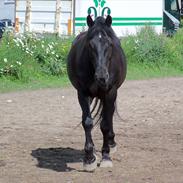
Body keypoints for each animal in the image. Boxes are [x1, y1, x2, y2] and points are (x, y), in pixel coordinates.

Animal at [67, 14, 127, 172]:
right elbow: (87, 122)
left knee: (109, 116)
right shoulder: (82, 93)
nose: (102, 76)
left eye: (110, 44)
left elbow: (105, 124)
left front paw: (106, 156)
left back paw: (111, 143)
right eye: (90, 45)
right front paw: (89, 158)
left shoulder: (110, 93)